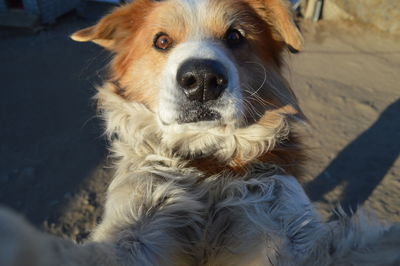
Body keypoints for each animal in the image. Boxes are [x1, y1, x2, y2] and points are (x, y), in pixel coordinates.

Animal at [0, 0, 400, 264]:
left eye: (236, 36)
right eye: (161, 41)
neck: (207, 168)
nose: (204, 80)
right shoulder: (138, 222)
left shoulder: (283, 223)